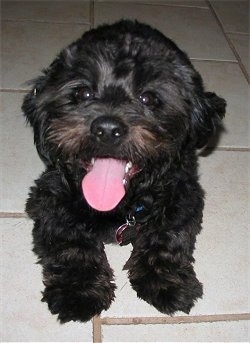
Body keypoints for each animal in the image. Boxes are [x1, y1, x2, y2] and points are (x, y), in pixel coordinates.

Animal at [21, 20, 226, 324]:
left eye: (149, 97)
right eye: (82, 93)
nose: (107, 128)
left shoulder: (183, 196)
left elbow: (167, 237)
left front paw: (166, 282)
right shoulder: (50, 197)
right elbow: (71, 243)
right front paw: (78, 291)